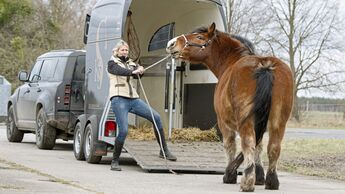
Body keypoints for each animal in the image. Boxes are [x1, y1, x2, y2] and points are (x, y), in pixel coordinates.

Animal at [167, 22, 292, 191]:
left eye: (199, 37)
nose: (171, 44)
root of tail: (264, 65)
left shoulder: (223, 123)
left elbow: (230, 145)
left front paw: (230, 175)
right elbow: (259, 146)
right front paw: (259, 177)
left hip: (246, 120)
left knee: (248, 143)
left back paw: (247, 181)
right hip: (278, 121)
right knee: (273, 147)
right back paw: (271, 182)